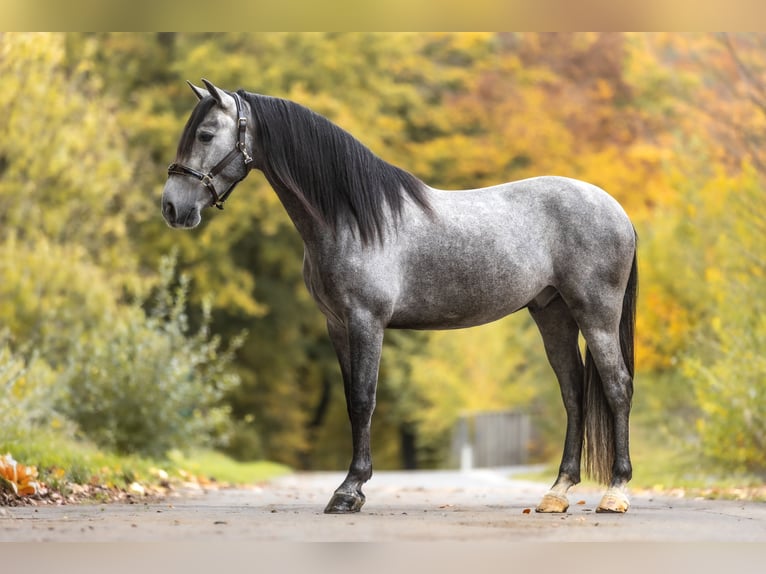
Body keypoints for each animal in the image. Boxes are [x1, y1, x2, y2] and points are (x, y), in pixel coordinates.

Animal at [161, 79, 638, 515]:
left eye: (205, 135)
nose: (171, 208)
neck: (351, 217)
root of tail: (617, 210)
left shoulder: (366, 321)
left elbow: (363, 399)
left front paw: (349, 491)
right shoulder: (337, 325)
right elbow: (352, 399)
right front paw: (351, 487)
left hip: (595, 314)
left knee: (617, 387)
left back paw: (615, 492)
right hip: (552, 313)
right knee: (574, 394)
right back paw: (557, 493)